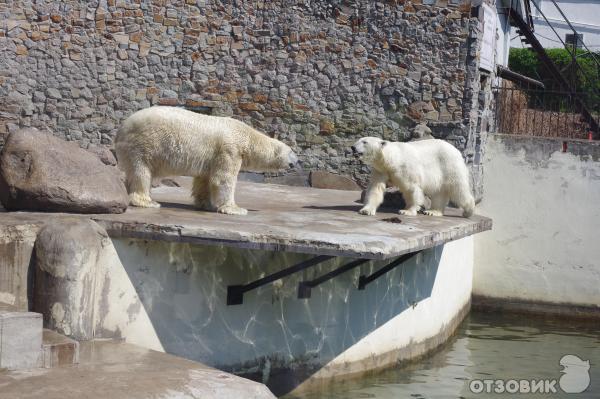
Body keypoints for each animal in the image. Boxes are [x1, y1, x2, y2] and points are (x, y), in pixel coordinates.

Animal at [114, 106, 298, 216]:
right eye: (292, 152)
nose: (296, 162)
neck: (247, 137)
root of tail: (121, 128)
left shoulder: (211, 157)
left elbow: (205, 179)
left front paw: (206, 204)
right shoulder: (230, 150)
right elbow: (223, 179)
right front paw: (236, 209)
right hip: (142, 144)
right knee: (141, 172)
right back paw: (148, 202)